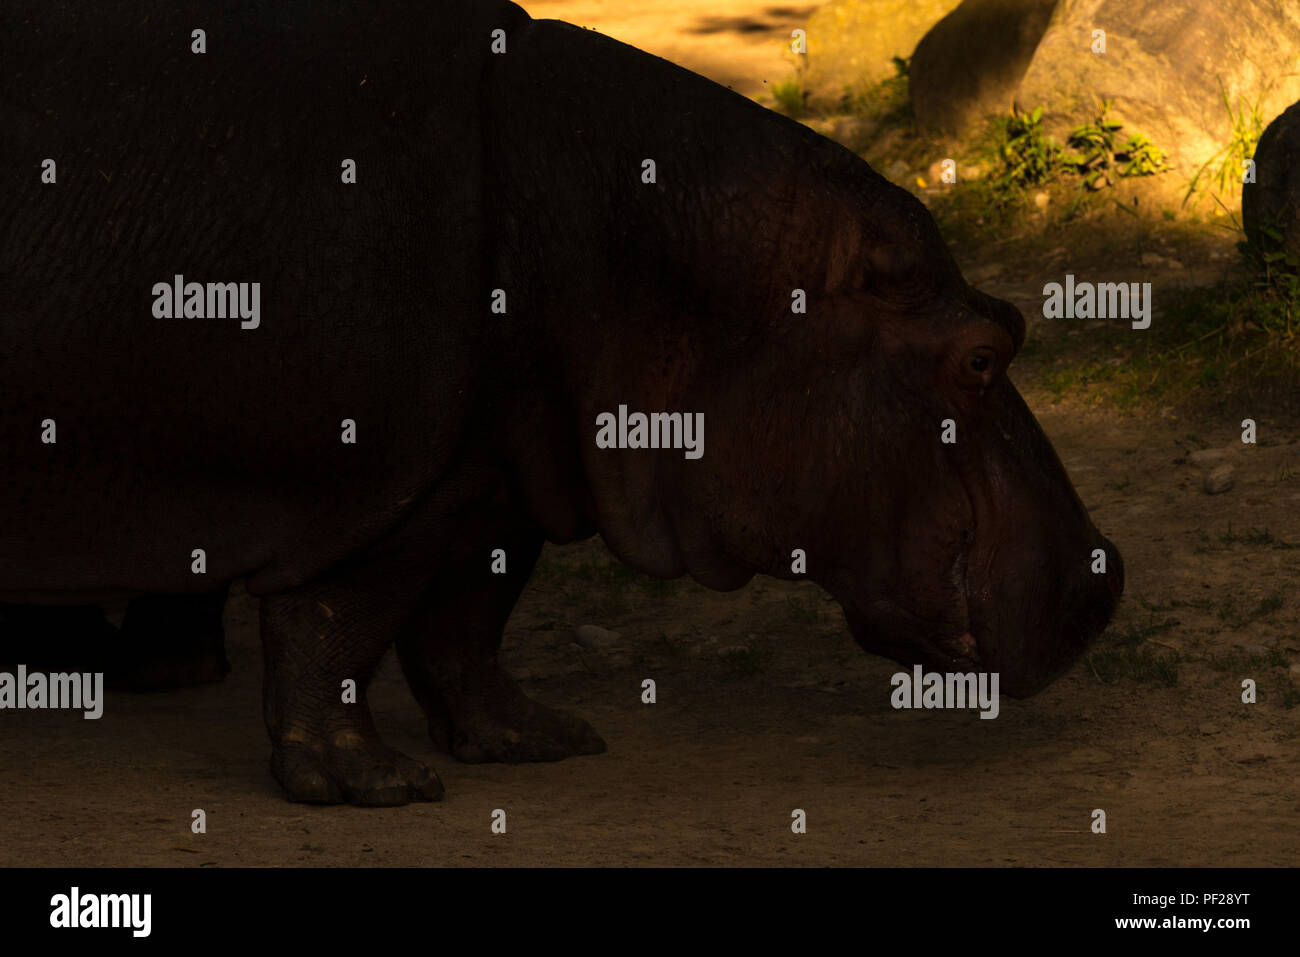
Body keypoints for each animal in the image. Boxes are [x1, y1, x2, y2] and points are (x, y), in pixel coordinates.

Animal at [1, 0, 1122, 805]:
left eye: (1013, 316)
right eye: (982, 355)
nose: (1107, 573)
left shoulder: (495, 476)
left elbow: (468, 622)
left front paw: (540, 743)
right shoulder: (388, 487)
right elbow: (341, 628)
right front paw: (377, 787)